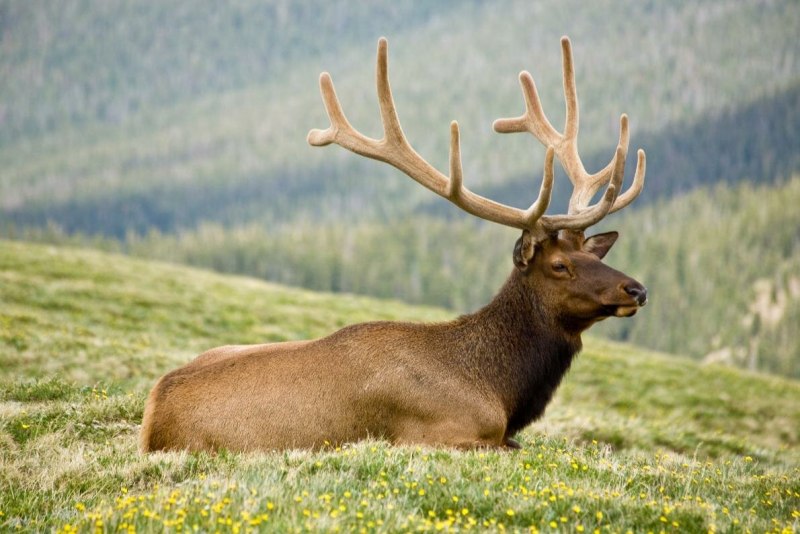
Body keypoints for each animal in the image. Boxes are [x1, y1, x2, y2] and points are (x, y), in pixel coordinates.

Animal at [140, 36, 647, 452]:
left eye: (592, 252)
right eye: (560, 265)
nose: (636, 289)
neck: (498, 389)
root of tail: (152, 418)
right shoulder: (444, 434)